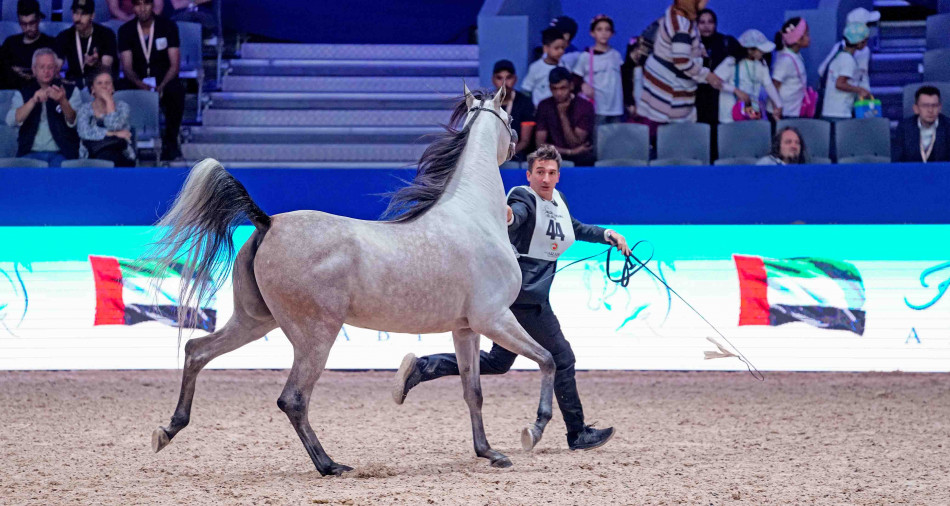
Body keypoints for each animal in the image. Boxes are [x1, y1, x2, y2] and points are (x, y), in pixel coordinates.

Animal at [146, 85, 558, 475]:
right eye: (510, 117)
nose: (516, 146)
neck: (473, 216)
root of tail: (268, 222)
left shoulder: (466, 328)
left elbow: (473, 391)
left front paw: (490, 453)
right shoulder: (495, 318)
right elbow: (548, 359)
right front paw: (533, 431)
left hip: (254, 320)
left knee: (197, 350)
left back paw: (167, 431)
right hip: (315, 335)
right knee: (292, 399)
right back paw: (330, 465)